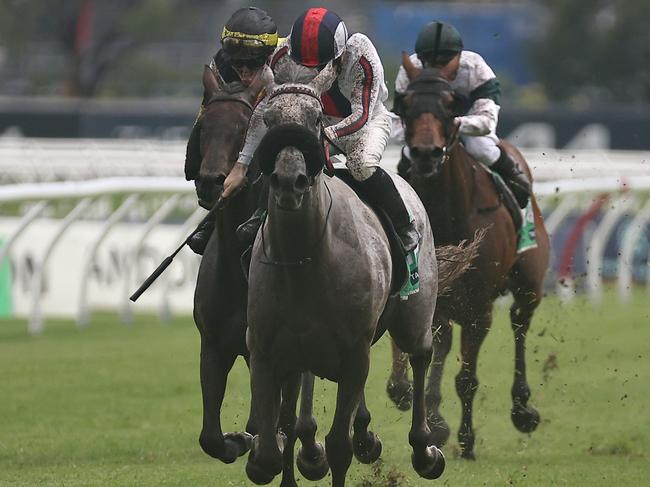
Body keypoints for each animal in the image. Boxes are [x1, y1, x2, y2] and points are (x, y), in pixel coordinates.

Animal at [244, 62, 446, 487]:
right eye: (267, 120)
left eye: (316, 118)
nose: (289, 180)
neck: (304, 260)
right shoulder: (267, 350)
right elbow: (271, 451)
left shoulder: (354, 353)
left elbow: (339, 445)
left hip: (414, 315)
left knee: (421, 354)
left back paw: (425, 449)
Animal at [388, 58, 548, 462]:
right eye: (406, 105)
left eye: (450, 106)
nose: (426, 153)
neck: (447, 211)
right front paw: (429, 417)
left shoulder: (479, 308)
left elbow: (467, 379)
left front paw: (466, 440)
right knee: (443, 341)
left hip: (529, 286)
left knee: (519, 324)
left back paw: (522, 410)